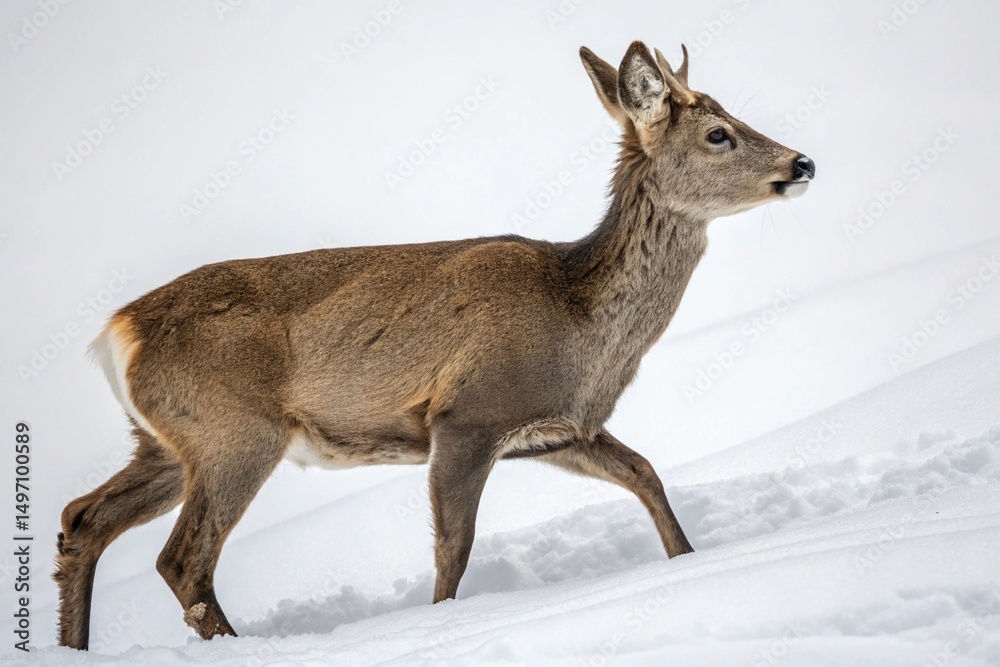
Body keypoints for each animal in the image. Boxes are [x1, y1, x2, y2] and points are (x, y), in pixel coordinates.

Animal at [54, 40, 815, 649]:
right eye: (718, 134)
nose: (804, 162)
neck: (581, 325)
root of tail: (117, 331)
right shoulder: (468, 414)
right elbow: (454, 549)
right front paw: (443, 624)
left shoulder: (557, 429)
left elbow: (645, 472)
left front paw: (690, 562)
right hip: (235, 431)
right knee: (183, 559)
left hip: (165, 441)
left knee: (83, 518)